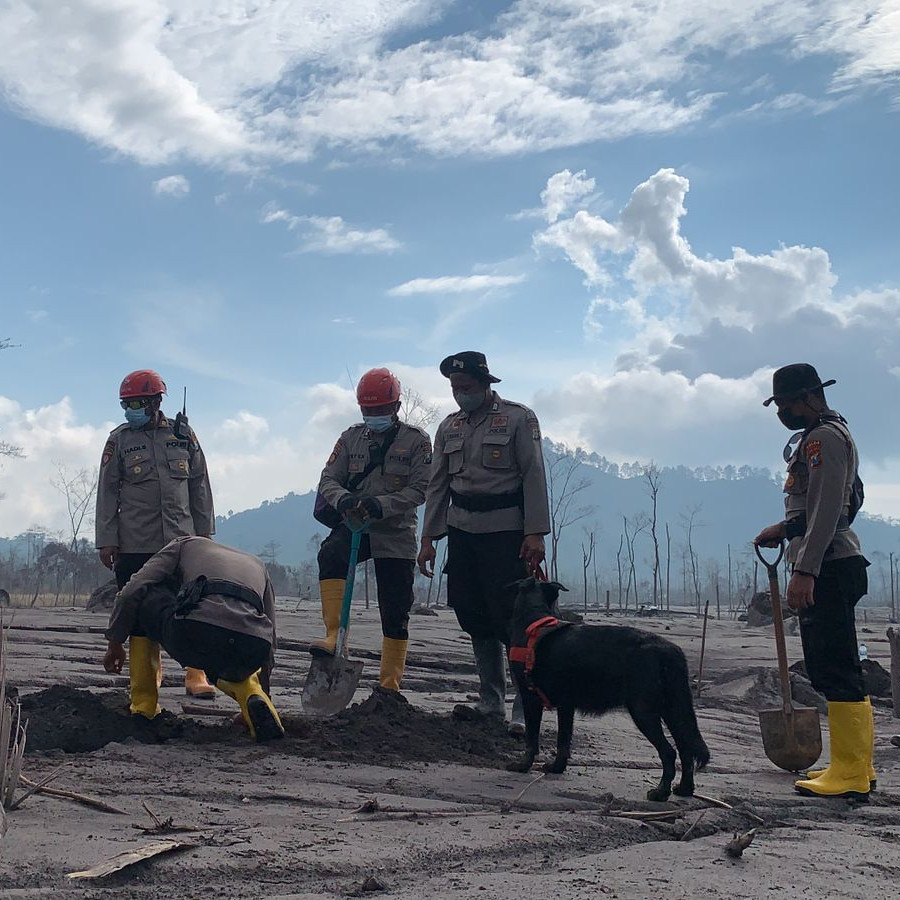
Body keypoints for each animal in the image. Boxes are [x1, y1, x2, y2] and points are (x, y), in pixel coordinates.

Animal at [506, 576, 712, 800]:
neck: (534, 619)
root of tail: (670, 651)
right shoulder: (566, 706)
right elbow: (563, 741)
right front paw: (557, 767)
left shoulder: (530, 699)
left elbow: (531, 740)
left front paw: (522, 766)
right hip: (673, 710)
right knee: (686, 749)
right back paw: (685, 789)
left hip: (644, 711)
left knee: (669, 751)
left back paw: (660, 792)